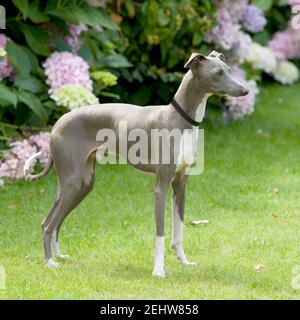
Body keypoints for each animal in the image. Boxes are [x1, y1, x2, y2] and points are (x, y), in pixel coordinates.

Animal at [24, 51, 248, 276]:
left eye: (229, 70)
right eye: (218, 73)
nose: (245, 90)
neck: (181, 120)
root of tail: (56, 124)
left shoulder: (180, 185)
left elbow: (179, 229)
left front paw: (184, 262)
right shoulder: (161, 187)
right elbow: (160, 235)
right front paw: (158, 271)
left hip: (84, 184)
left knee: (57, 222)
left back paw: (59, 256)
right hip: (72, 181)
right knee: (47, 224)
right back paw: (49, 262)